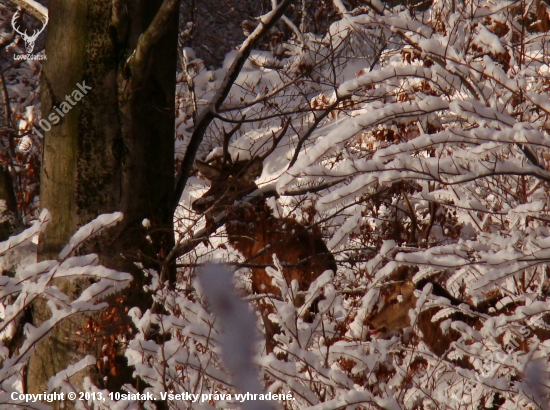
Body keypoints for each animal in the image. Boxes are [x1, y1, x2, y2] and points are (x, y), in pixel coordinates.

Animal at [193, 155, 336, 356]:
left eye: (232, 187)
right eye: (213, 183)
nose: (198, 204)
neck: (251, 243)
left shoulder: (263, 291)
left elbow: (271, 341)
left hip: (294, 297)